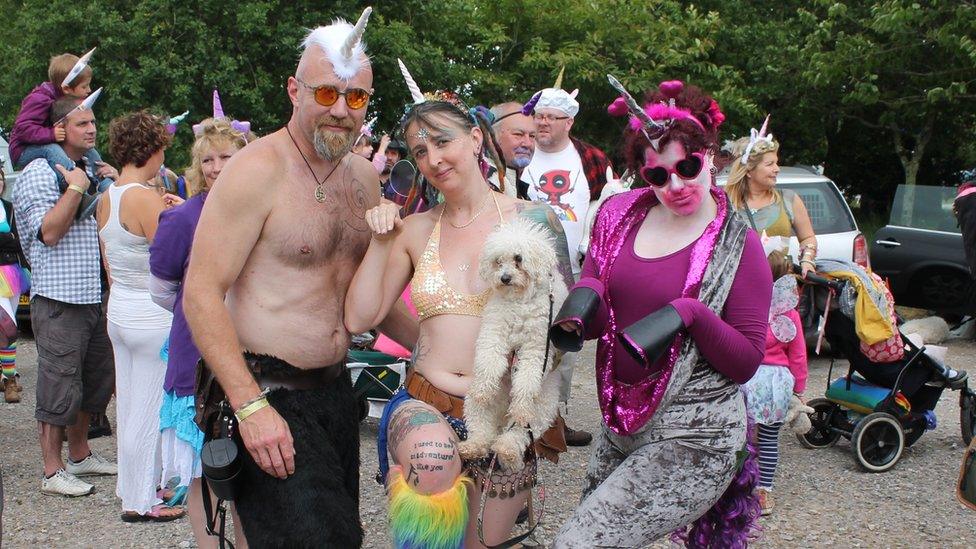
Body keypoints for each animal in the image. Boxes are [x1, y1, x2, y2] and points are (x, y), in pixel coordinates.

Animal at [460, 216, 568, 468]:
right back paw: (473, 446)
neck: (520, 302)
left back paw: (506, 448)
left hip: (540, 412)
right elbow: (489, 363)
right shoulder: (494, 333)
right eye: (498, 261)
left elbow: (527, 382)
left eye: (518, 259)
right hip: (475, 406)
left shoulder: (537, 349)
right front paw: (484, 389)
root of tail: (501, 416)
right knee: (481, 429)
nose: (505, 278)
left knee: (517, 433)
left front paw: (520, 403)